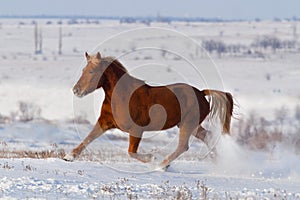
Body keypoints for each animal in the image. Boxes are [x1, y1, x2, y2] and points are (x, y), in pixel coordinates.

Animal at [63, 52, 234, 168]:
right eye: (83, 70)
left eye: (91, 71)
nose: (76, 90)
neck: (120, 96)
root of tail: (201, 93)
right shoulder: (105, 123)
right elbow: (88, 138)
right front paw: (69, 156)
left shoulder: (136, 129)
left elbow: (131, 152)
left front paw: (152, 158)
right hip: (191, 126)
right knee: (208, 137)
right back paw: (218, 161)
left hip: (188, 124)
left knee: (183, 146)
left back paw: (162, 165)